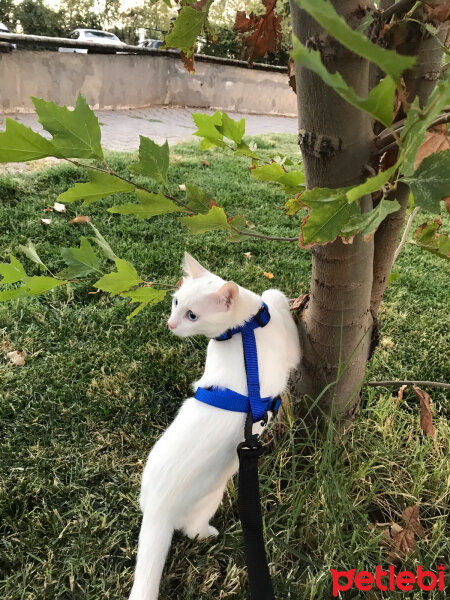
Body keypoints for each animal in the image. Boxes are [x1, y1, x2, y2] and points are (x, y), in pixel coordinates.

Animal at [128, 253, 300, 600]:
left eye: (191, 314)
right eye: (176, 303)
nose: (170, 324)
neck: (243, 333)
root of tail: (156, 510)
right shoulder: (290, 351)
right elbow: (274, 295)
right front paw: (281, 299)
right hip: (210, 498)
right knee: (191, 530)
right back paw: (210, 533)